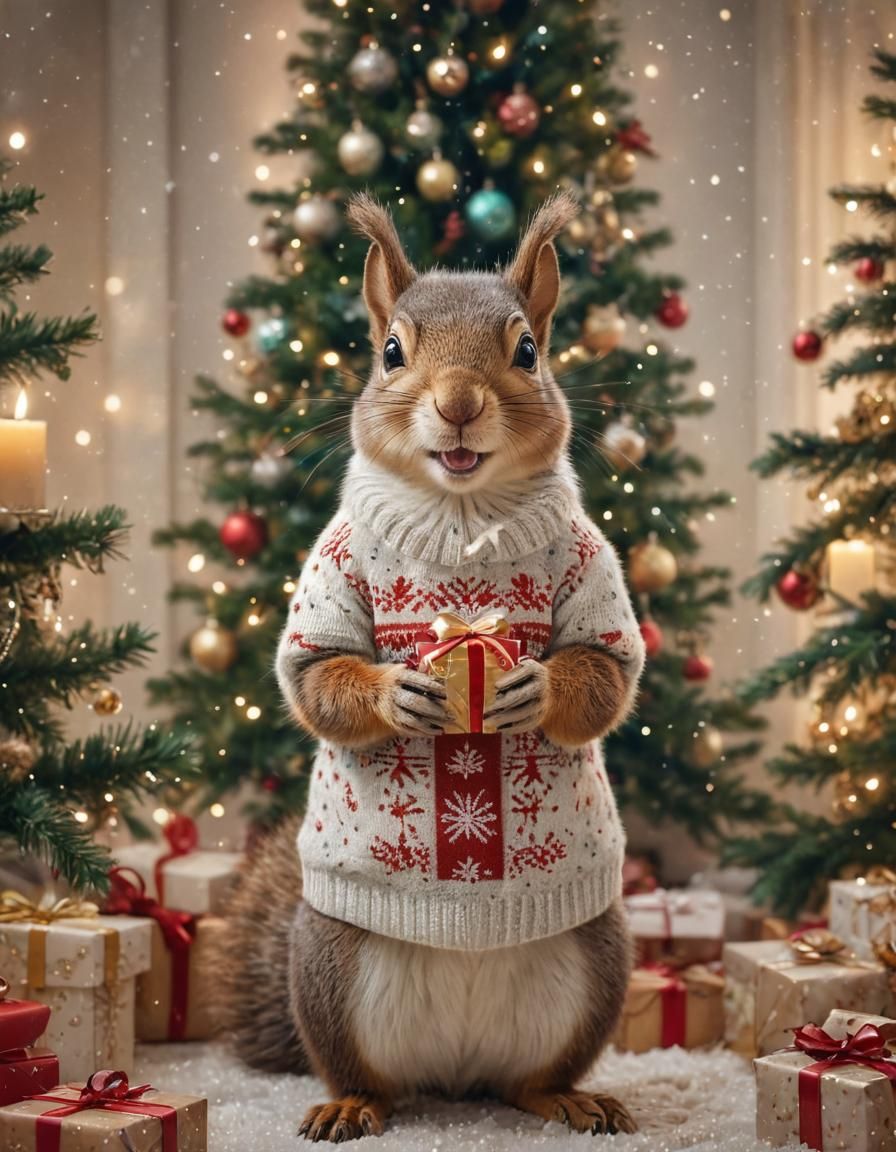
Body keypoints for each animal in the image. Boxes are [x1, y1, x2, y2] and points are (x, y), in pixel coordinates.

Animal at [213, 191, 646, 1143]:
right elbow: (317, 677)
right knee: (366, 1074)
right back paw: (350, 1104)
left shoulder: (594, 571)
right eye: (389, 351)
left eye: (527, 350)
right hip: (330, 968)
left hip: (597, 962)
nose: (456, 405)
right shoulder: (330, 573)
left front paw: (534, 690)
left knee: (530, 1079)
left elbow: (604, 671)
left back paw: (567, 1097)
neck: (462, 512)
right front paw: (396, 694)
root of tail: (454, 1077)